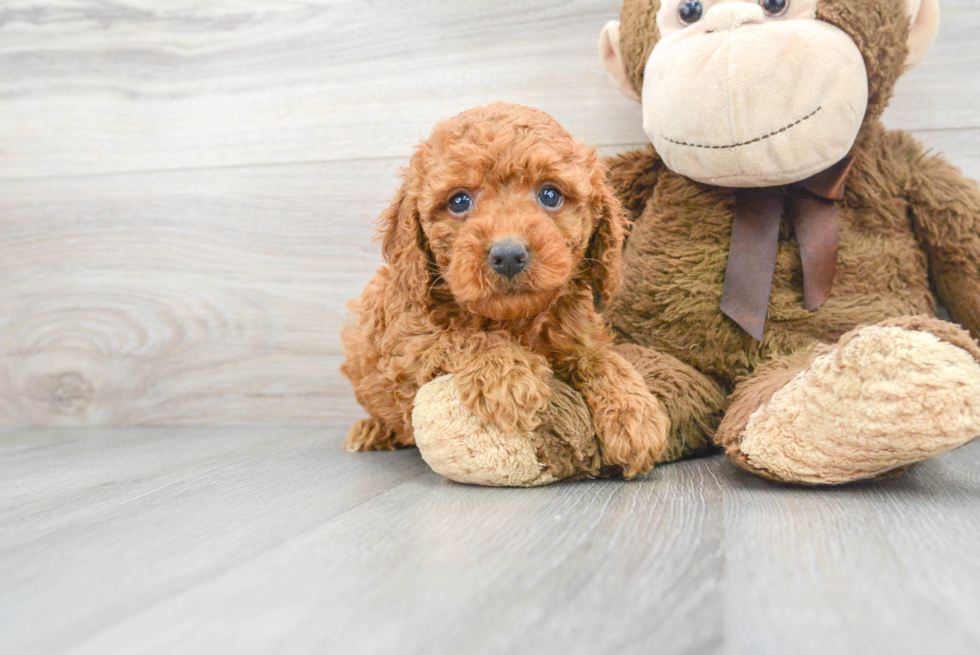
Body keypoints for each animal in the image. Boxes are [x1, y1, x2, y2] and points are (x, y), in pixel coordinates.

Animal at [340, 105, 668, 480]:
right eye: (459, 201)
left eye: (550, 195)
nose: (509, 254)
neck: (514, 319)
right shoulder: (406, 346)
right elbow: (460, 336)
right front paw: (509, 377)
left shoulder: (579, 335)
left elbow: (602, 358)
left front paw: (635, 414)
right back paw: (370, 430)